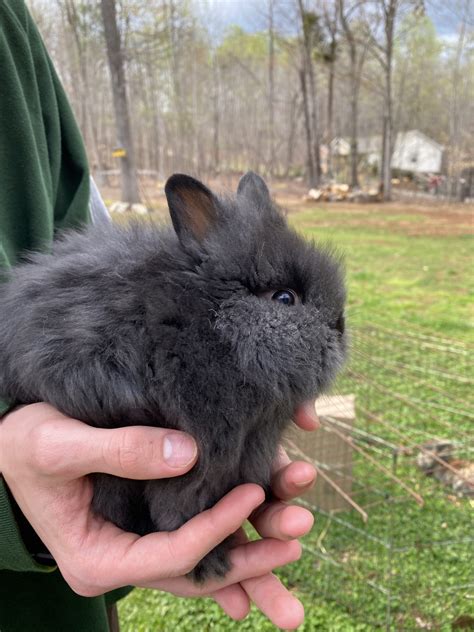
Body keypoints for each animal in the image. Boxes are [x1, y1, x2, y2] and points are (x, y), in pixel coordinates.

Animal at [0, 172, 348, 576]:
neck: (214, 326)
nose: (340, 328)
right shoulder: (198, 463)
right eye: (284, 298)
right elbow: (178, 511)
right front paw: (211, 564)